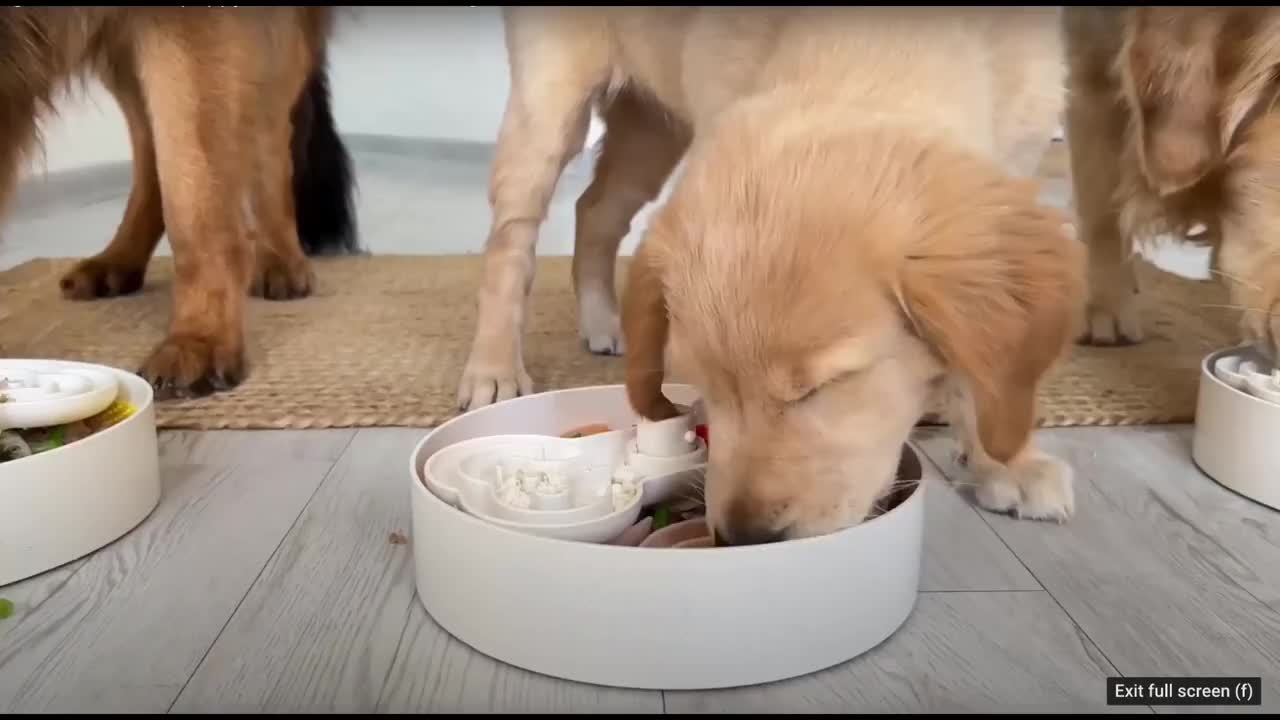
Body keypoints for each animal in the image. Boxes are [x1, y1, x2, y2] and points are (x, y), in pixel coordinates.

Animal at [476, 8, 1085, 540]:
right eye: (703, 388)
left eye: (821, 387)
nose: (746, 538)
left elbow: (987, 365)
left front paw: (1004, 461)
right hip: (551, 98)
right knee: (511, 238)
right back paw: (493, 369)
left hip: (652, 123)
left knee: (596, 209)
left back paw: (602, 318)